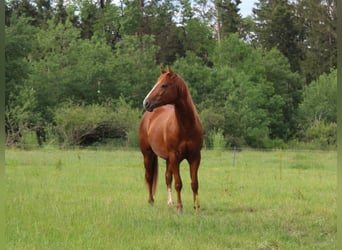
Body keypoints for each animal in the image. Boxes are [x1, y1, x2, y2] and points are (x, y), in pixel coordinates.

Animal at [139, 65, 203, 213]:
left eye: (164, 85)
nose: (146, 102)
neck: (186, 126)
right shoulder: (175, 157)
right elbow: (179, 183)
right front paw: (180, 208)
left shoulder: (195, 157)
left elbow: (194, 183)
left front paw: (196, 207)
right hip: (148, 154)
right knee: (149, 177)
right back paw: (151, 201)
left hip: (168, 159)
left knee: (167, 178)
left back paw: (170, 203)